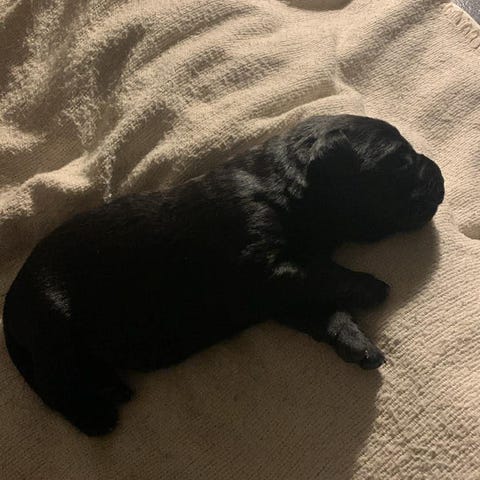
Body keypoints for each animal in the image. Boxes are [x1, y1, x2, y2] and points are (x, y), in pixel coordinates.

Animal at [3, 114, 445, 435]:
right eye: (401, 162)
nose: (440, 175)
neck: (287, 187)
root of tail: (11, 302)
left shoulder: (280, 297)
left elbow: (324, 310)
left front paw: (356, 342)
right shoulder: (263, 264)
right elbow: (320, 273)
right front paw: (370, 287)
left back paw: (111, 386)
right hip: (51, 320)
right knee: (55, 382)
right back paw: (96, 414)